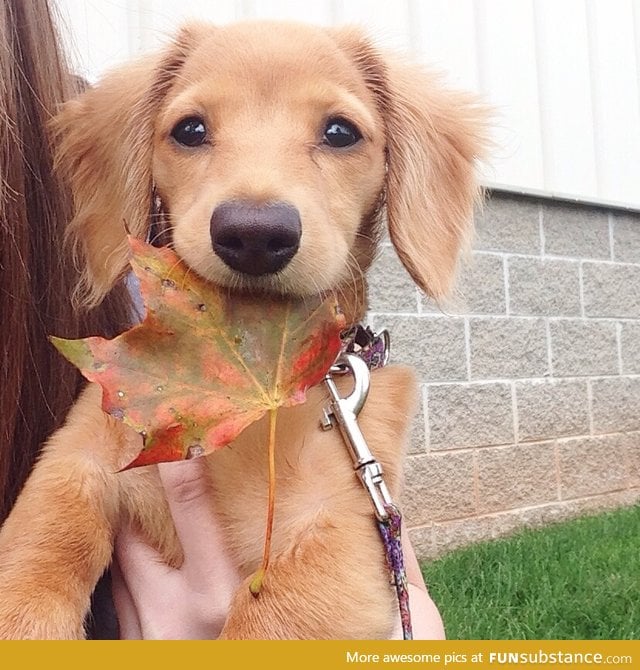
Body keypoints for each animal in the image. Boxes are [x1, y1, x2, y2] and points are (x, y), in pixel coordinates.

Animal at [0, 19, 484, 640]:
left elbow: (263, 619)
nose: (254, 234)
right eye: (190, 129)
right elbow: (36, 556)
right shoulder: (79, 457)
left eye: (340, 132)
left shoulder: (340, 533)